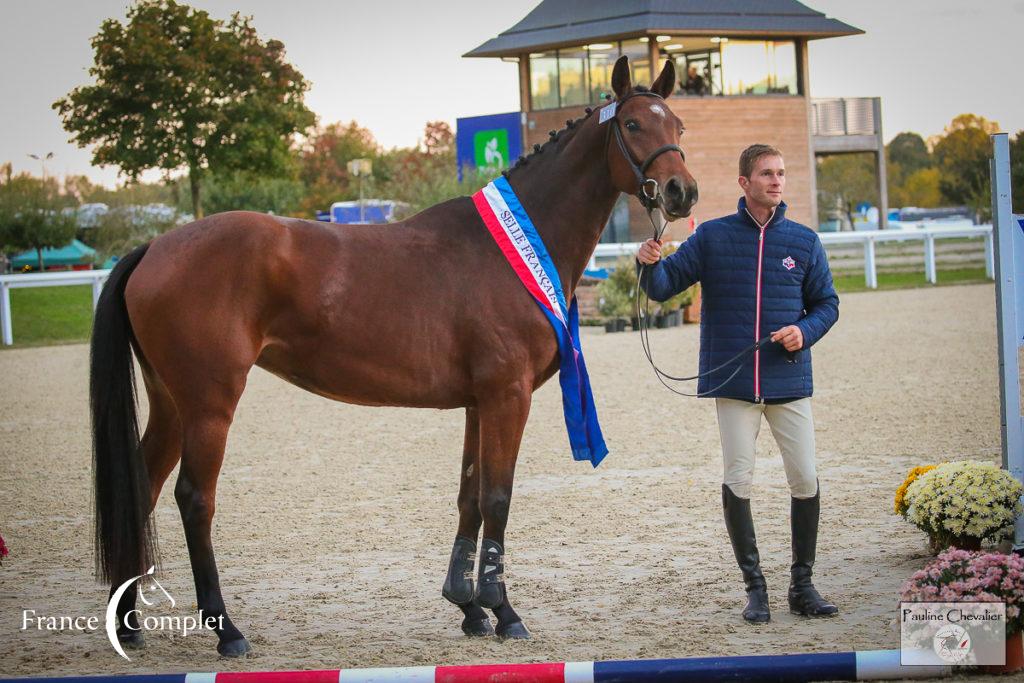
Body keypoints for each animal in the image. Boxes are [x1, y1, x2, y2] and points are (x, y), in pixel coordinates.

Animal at [92, 56, 696, 655]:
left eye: (678, 126)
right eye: (634, 124)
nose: (681, 192)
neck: (512, 248)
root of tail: (155, 247)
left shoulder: (478, 403)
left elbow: (470, 496)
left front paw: (468, 607)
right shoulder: (508, 396)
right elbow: (498, 497)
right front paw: (504, 611)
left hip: (172, 405)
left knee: (142, 490)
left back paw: (130, 624)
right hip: (209, 405)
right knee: (195, 499)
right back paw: (226, 629)